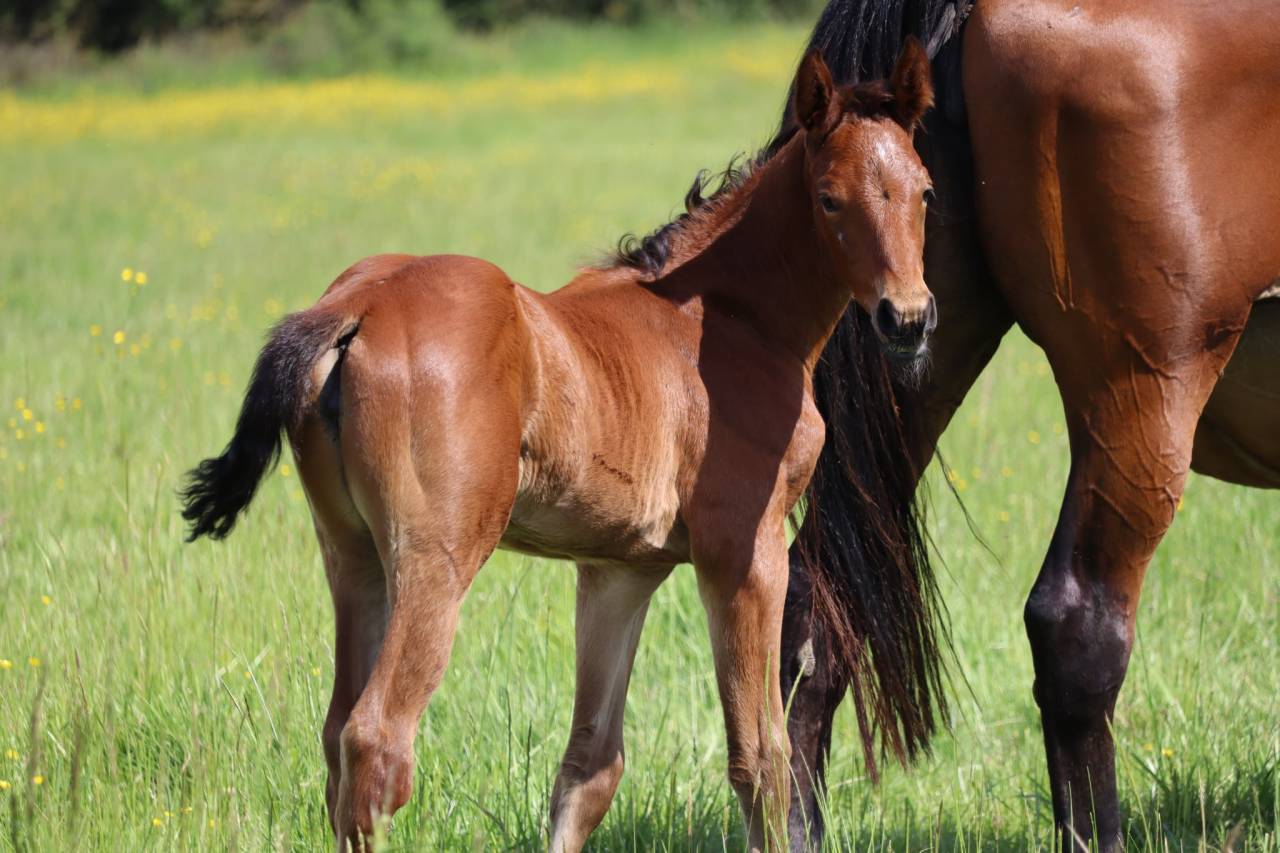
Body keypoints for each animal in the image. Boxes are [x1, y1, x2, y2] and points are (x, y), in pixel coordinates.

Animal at [181, 45, 938, 852]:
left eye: (924, 191)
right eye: (829, 200)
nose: (907, 318)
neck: (730, 320)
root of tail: (358, 304)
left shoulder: (620, 572)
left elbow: (589, 767)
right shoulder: (745, 552)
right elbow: (761, 758)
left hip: (352, 556)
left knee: (336, 733)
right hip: (436, 558)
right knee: (377, 738)